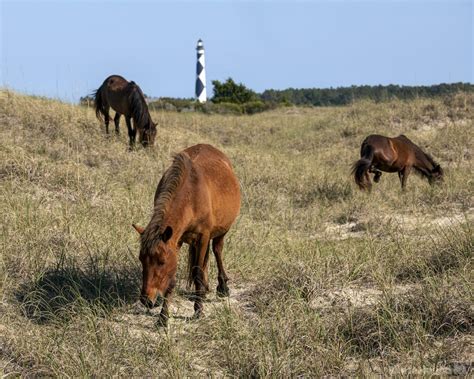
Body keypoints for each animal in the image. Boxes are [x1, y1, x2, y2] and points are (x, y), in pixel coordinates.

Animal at [131, 144, 241, 326]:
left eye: (161, 261)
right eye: (141, 259)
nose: (146, 300)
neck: (192, 195)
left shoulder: (203, 237)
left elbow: (197, 272)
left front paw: (198, 310)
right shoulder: (176, 241)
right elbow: (173, 279)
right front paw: (163, 317)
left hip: (220, 232)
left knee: (217, 251)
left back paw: (222, 287)